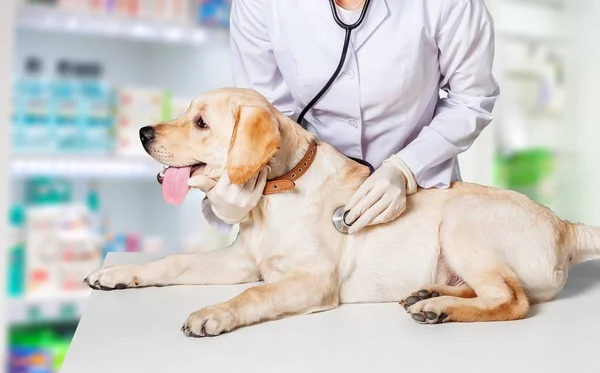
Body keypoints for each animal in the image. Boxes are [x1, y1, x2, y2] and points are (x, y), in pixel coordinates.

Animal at [84, 88, 600, 338]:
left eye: (201, 122)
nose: (143, 132)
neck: (275, 194)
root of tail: (565, 225)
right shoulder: (243, 260)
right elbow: (173, 262)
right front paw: (117, 274)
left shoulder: (312, 280)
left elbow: (253, 295)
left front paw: (214, 313)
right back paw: (430, 293)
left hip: (463, 220)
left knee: (511, 300)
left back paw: (438, 309)